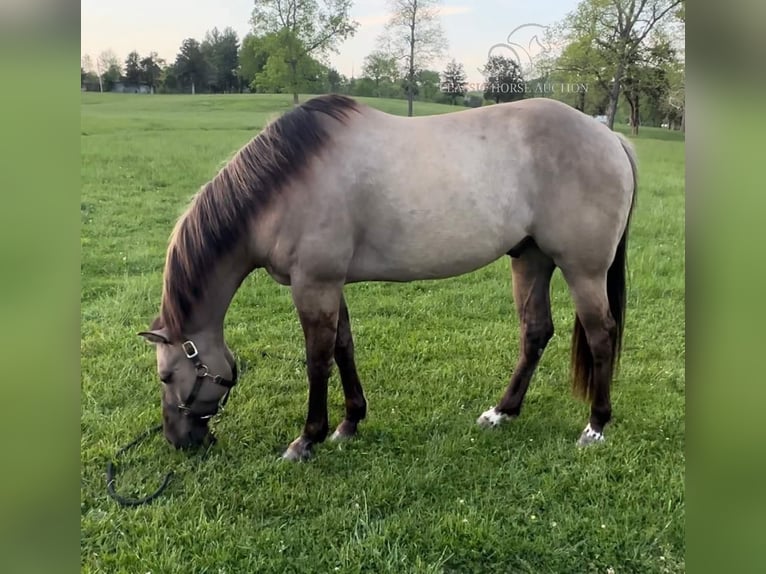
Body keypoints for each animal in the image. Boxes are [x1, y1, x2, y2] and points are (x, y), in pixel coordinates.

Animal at [136, 94, 636, 464]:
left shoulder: (313, 284)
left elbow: (317, 360)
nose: (178, 441)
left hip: (583, 271)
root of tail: (611, 137)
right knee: (535, 332)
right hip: (531, 259)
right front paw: (349, 423)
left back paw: (595, 425)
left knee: (601, 336)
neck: (287, 185)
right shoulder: (330, 284)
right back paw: (502, 412)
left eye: (166, 376)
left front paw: (307, 439)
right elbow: (343, 347)